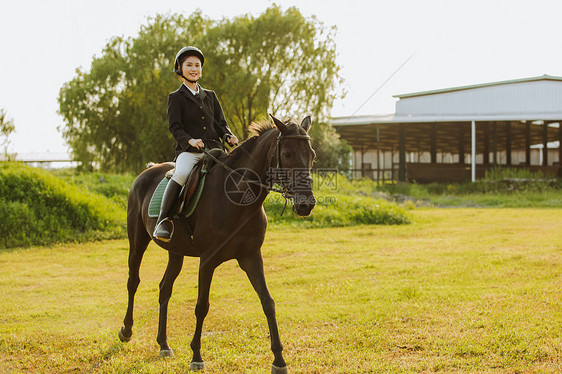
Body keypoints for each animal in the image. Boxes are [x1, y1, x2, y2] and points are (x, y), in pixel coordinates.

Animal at [118, 115, 316, 372]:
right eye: (289, 154)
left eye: (312, 155)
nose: (306, 204)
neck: (238, 197)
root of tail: (148, 171)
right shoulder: (207, 260)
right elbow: (202, 306)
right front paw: (196, 356)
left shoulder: (251, 257)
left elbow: (268, 302)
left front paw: (279, 360)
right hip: (137, 241)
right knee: (133, 281)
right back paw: (126, 330)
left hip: (176, 252)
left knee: (164, 288)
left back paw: (163, 344)